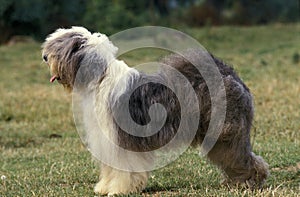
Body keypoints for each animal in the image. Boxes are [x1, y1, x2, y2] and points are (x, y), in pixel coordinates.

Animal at [42, 26, 270, 195]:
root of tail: (228, 72)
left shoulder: (122, 139)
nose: (44, 56)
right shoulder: (106, 139)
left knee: (243, 156)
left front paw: (118, 189)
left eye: (58, 47)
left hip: (226, 131)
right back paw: (236, 182)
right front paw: (104, 187)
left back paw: (250, 181)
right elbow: (110, 168)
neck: (101, 78)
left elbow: (123, 167)